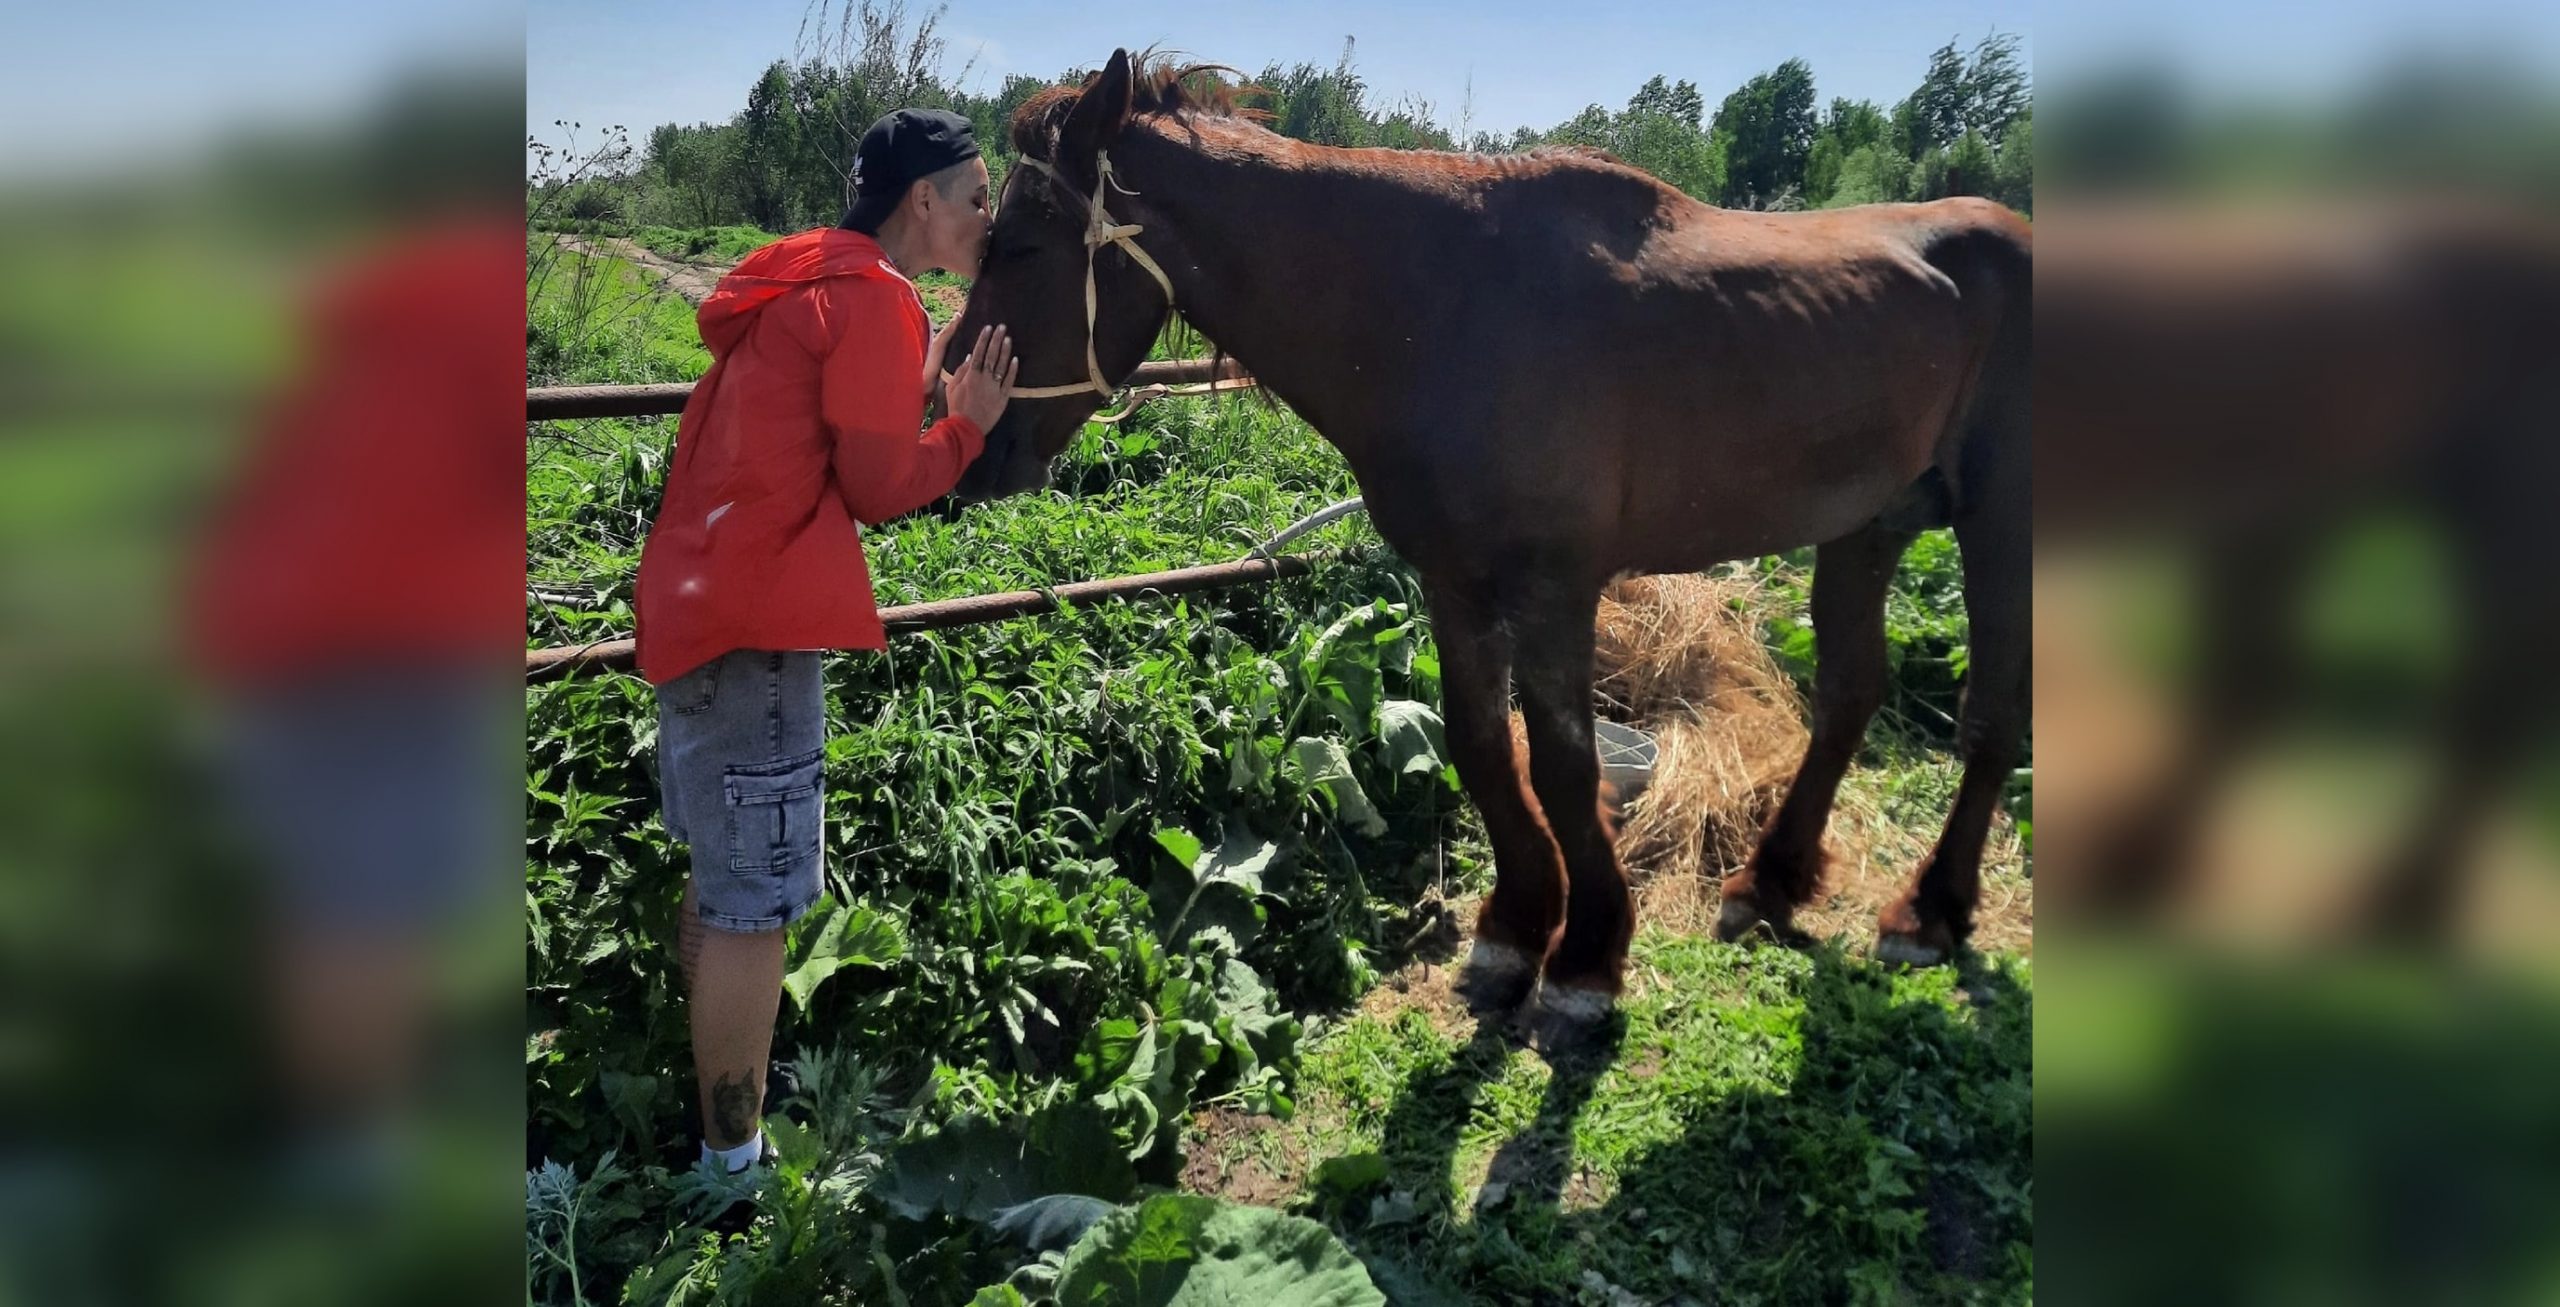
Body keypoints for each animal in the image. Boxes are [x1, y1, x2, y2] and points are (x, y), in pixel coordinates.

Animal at [952, 46, 2027, 1038]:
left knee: (1990, 717)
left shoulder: (1555, 589)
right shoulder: (1454, 582)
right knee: (1850, 694)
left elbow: (1563, 764)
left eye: (1020, 245)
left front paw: (1587, 953)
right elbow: (1480, 744)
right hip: (1868, 526)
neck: (1443, 307)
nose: (964, 430)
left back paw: (1931, 910)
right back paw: (1770, 881)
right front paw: (1516, 926)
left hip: (2000, 530)